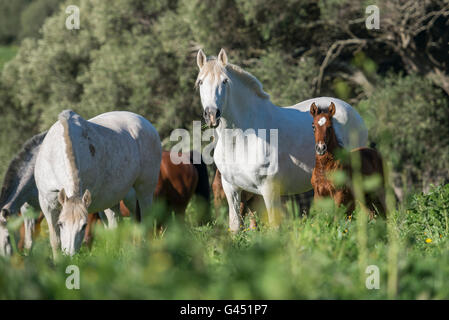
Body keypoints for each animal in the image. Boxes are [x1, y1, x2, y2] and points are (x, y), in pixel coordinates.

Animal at [35, 111, 162, 256]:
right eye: (61, 224)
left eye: (84, 226)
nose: (70, 255)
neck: (54, 154)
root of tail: (147, 124)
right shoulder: (47, 203)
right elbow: (55, 241)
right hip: (121, 196)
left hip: (144, 189)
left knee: (144, 219)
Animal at [196, 48, 368, 232]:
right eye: (200, 82)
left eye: (225, 81)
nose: (211, 114)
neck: (242, 140)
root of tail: (354, 113)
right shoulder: (232, 189)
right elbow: (235, 226)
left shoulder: (269, 189)